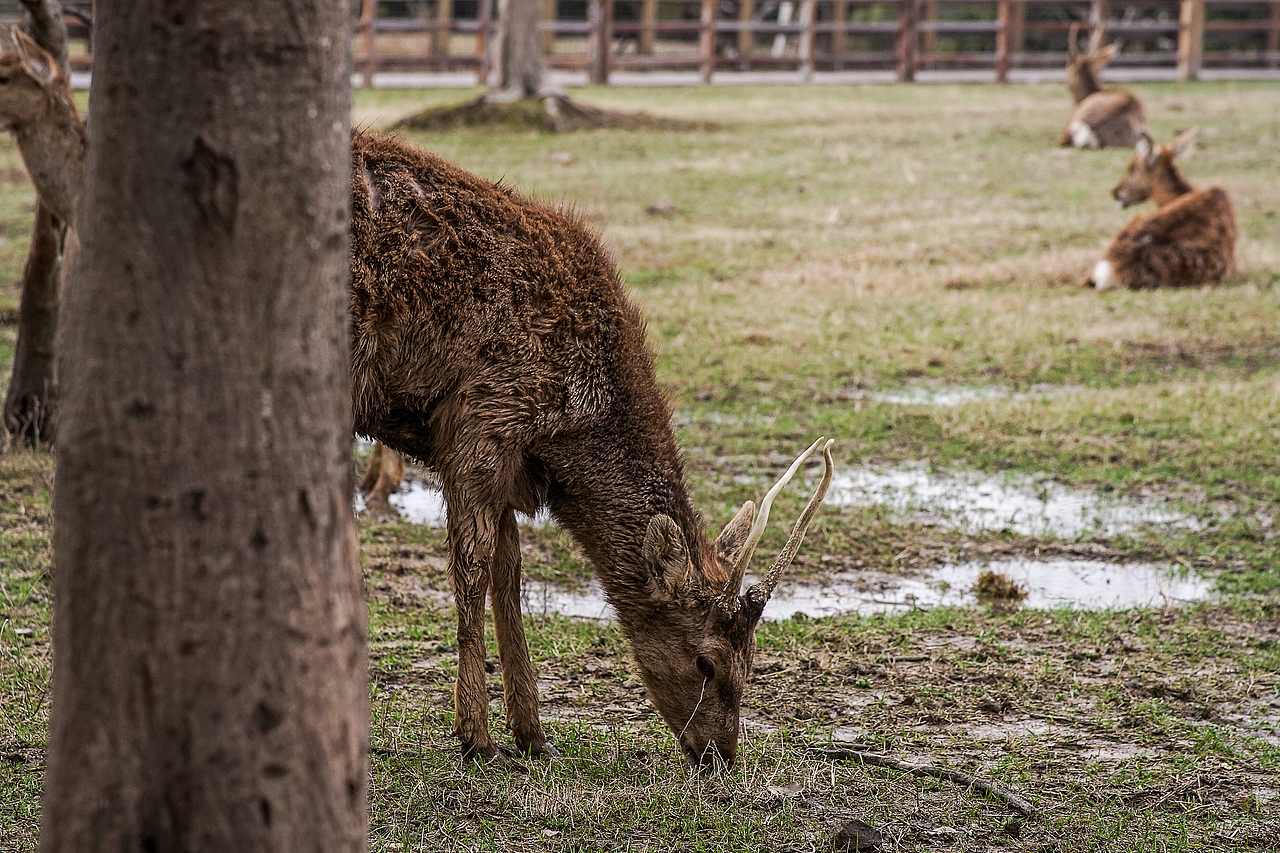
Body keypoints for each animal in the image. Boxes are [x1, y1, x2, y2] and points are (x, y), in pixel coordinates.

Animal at [3, 28, 836, 767]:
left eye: (752, 666)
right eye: (707, 661)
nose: (720, 755)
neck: (577, 428)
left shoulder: (507, 456)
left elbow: (509, 579)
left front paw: (534, 733)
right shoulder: (484, 418)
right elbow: (471, 570)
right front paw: (476, 736)